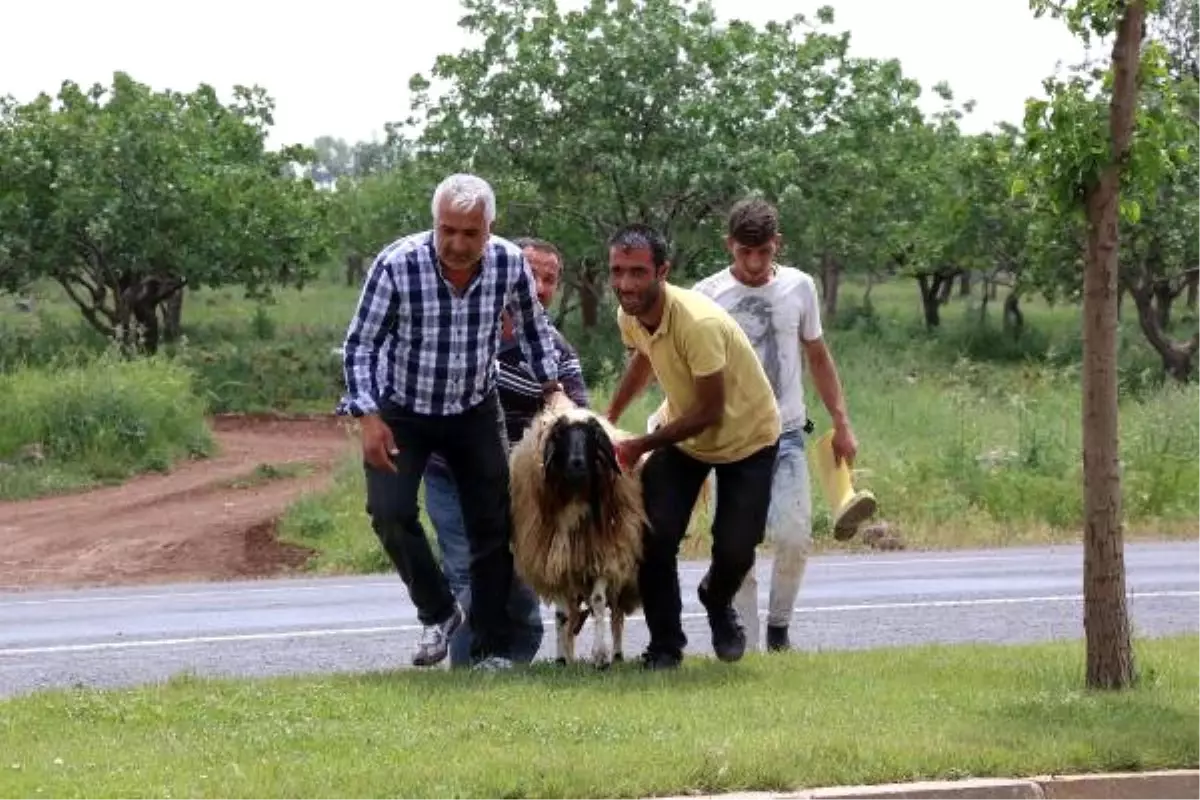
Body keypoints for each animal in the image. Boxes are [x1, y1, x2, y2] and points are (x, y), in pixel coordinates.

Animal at [511, 398, 652, 666]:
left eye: (591, 437)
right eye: (562, 436)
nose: (577, 463)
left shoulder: (604, 558)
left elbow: (598, 603)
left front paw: (600, 656)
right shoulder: (557, 564)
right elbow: (562, 615)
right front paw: (562, 658)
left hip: (622, 570)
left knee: (616, 614)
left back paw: (617, 654)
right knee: (573, 614)